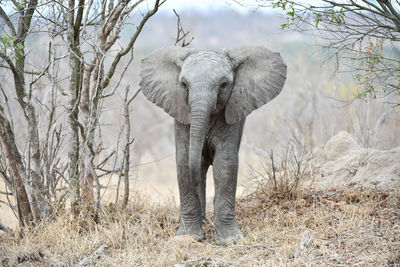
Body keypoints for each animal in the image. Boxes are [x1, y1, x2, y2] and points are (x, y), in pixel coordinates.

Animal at [139, 45, 286, 245]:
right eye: (184, 85)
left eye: (223, 84)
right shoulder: (182, 114)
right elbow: (184, 162)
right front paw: (188, 237)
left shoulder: (231, 114)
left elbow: (225, 164)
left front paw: (230, 240)